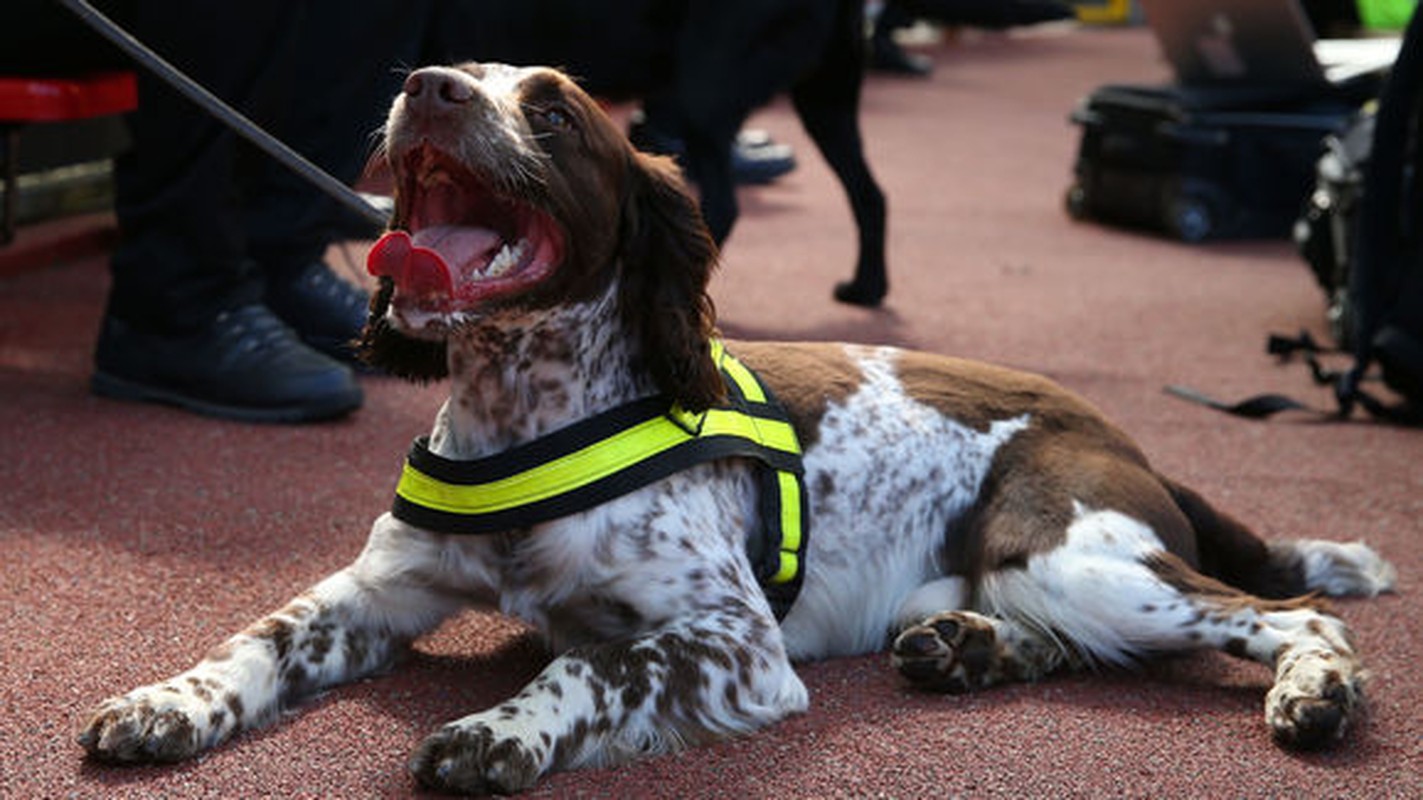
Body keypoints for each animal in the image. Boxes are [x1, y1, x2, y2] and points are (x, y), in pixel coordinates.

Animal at [75, 62, 1388, 791]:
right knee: (1083, 640)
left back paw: (1314, 696)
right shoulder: (377, 589)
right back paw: (969, 649)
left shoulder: (734, 640)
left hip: (1070, 552)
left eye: (552, 114)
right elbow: (260, 635)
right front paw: (166, 702)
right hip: (1036, 580)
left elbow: (589, 661)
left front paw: (499, 727)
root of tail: (1121, 435)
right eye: (442, 77)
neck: (525, 405)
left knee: (1290, 613)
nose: (425, 89)